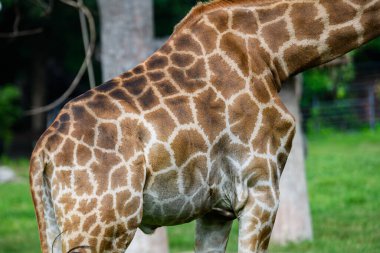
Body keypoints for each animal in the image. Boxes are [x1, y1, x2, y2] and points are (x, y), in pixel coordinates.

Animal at [30, 0, 380, 253]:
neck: (272, 54)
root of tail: (42, 154)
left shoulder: (216, 209)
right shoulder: (261, 189)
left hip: (60, 224)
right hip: (103, 226)